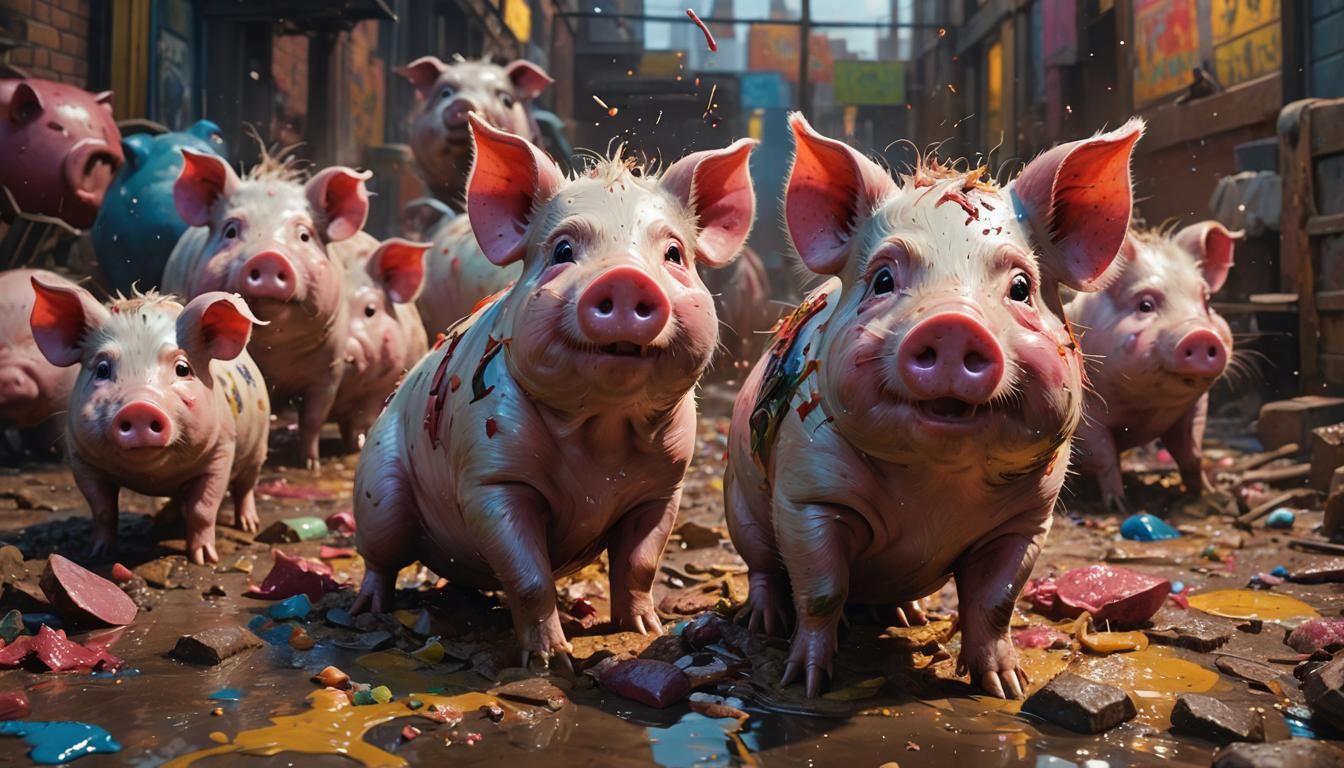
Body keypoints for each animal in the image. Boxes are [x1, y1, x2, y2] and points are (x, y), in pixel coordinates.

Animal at [28, 277, 269, 564]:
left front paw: (204, 559)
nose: (139, 407)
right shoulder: (81, 458)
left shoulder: (222, 451)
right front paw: (99, 554)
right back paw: (163, 521)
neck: (153, 476)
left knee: (246, 486)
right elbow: (102, 510)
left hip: (259, 447)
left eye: (183, 369)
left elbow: (203, 509)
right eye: (102, 369)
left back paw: (248, 525)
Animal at [160, 149, 370, 469]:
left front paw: (311, 464)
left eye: (305, 236)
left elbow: (313, 419)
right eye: (231, 231)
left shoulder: (330, 370)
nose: (269, 256)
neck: (277, 355)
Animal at [352, 114, 756, 668]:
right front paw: (551, 660)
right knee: (380, 555)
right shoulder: (492, 479)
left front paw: (645, 630)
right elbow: (528, 577)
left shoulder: (665, 484)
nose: (626, 278)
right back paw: (368, 610)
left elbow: (639, 564)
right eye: (563, 250)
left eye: (674, 253)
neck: (603, 438)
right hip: (378, 485)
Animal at [724, 114, 1143, 699]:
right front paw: (805, 684)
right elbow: (822, 592)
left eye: (1021, 287)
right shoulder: (807, 494)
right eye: (883, 279)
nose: (953, 323)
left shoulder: (1028, 519)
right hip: (738, 502)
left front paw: (1006, 687)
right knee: (762, 566)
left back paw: (910, 616)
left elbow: (996, 603)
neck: (934, 490)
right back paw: (764, 621)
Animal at [1068, 222, 1241, 513]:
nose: (1201, 334)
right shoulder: (1084, 416)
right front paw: (1119, 506)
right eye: (1145, 305)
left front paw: (1207, 493)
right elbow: (1105, 456)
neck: (1144, 409)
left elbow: (1191, 453)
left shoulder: (1194, 407)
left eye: (1206, 302)